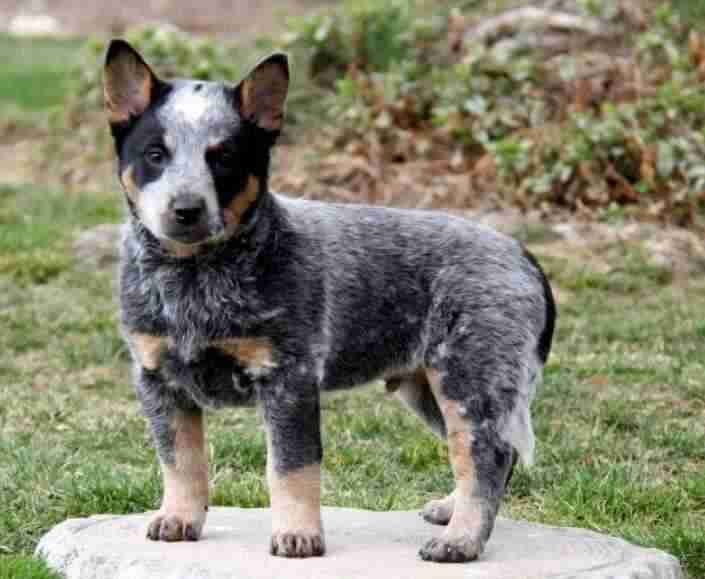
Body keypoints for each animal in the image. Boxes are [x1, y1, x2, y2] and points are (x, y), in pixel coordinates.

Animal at [103, 38, 556, 564]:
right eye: (155, 154)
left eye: (224, 159)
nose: (186, 209)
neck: (194, 276)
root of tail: (522, 254)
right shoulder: (157, 379)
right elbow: (180, 460)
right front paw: (179, 518)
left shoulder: (289, 379)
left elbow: (291, 468)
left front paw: (298, 535)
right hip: (430, 387)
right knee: (490, 454)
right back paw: (451, 512)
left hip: (470, 377)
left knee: (487, 455)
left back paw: (459, 541)